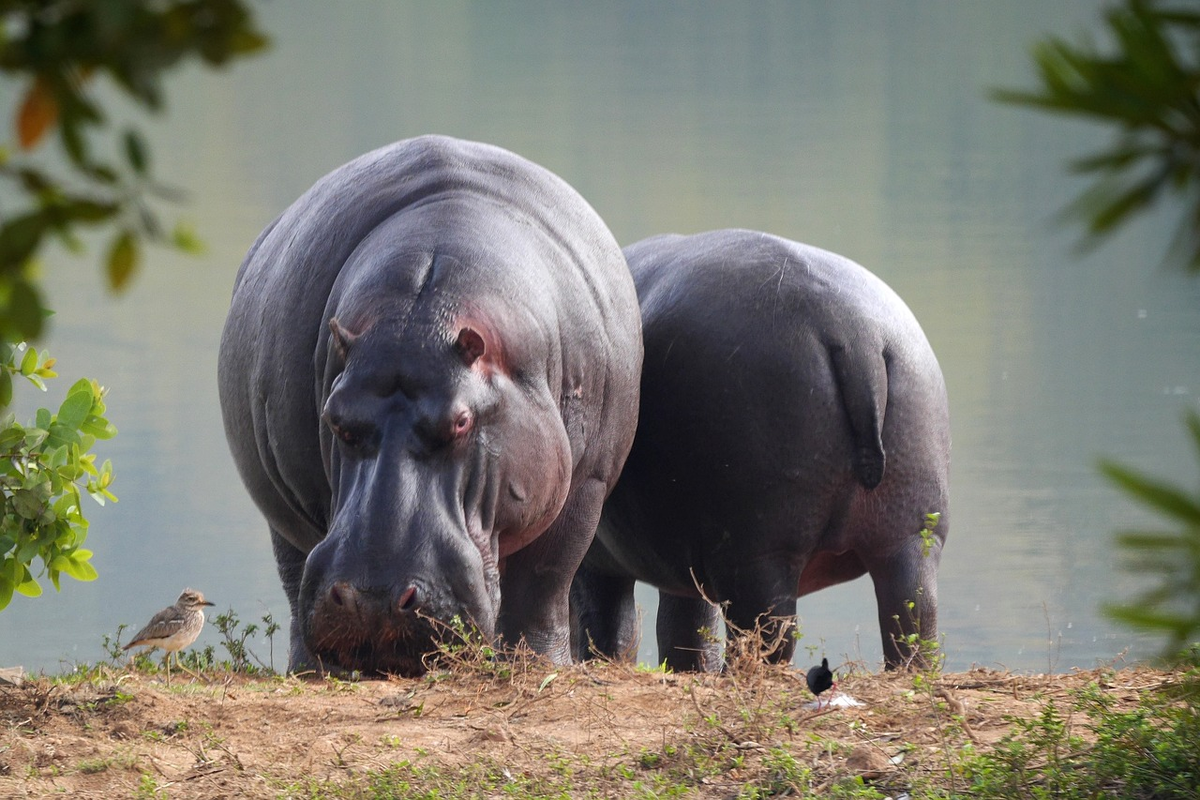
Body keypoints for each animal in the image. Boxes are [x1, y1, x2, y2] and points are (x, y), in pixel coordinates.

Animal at [219, 136, 643, 676]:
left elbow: (544, 586)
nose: (373, 601)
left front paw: (541, 667)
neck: (419, 316)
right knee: (295, 582)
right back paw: (311, 672)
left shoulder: (586, 485)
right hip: (284, 514)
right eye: (335, 419)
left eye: (461, 421)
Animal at [573, 227, 955, 671]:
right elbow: (685, 627)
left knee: (770, 632)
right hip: (912, 530)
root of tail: (855, 335)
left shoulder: (599, 558)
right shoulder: (686, 558)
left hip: (759, 552)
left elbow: (606, 625)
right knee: (914, 619)